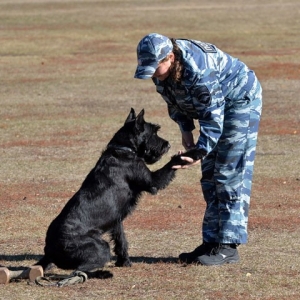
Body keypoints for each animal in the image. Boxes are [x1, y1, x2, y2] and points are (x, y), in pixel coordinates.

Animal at [35, 108, 204, 276]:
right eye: (154, 132)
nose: (167, 144)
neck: (122, 149)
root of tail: (49, 250)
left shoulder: (116, 220)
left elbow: (120, 239)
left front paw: (124, 262)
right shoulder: (153, 182)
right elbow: (173, 161)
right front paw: (196, 152)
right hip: (100, 247)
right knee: (79, 270)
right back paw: (103, 274)